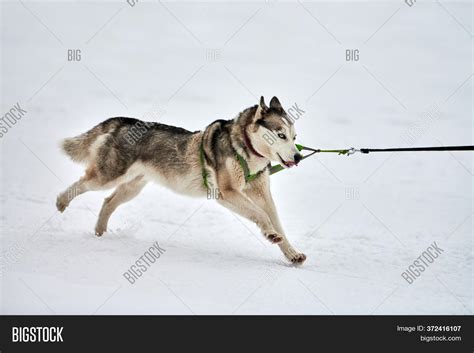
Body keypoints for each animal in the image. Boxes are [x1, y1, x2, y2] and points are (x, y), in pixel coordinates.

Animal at [56, 95, 308, 262]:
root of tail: (124, 121)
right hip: (107, 177)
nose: (298, 157)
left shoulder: (262, 195)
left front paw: (291, 253)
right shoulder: (227, 193)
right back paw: (61, 202)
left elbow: (276, 221)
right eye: (281, 135)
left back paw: (100, 234)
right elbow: (261, 216)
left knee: (108, 202)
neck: (247, 150)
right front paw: (270, 234)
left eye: (294, 137)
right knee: (82, 183)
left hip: (132, 187)